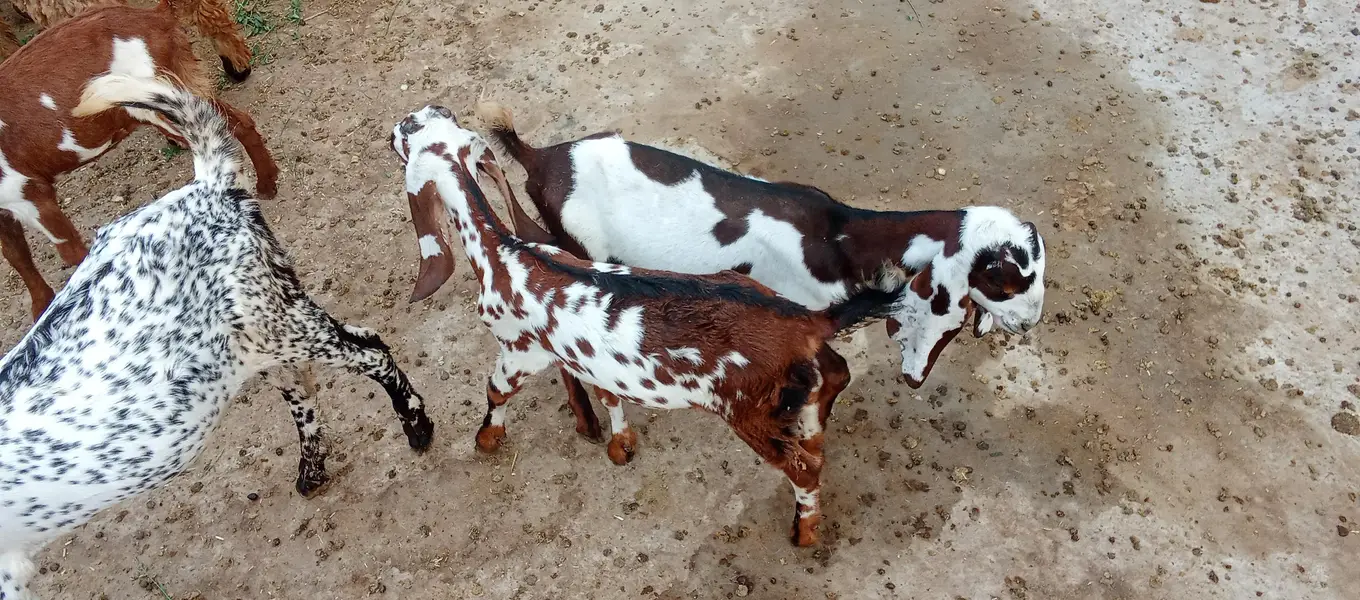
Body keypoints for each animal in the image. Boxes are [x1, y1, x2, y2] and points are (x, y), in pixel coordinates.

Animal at [0, 76, 433, 600]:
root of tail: (206, 187)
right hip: (271, 327)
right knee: (319, 376)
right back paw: (313, 471)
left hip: (283, 327)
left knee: (370, 352)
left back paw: (417, 428)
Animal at [391, 105, 907, 546]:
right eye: (431, 120)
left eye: (414, 133)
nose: (398, 125)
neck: (506, 254)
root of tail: (807, 321)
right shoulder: (587, 357)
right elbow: (607, 395)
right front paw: (619, 444)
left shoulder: (518, 350)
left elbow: (496, 391)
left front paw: (487, 440)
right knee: (822, 416)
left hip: (747, 411)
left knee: (804, 467)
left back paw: (804, 533)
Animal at [471, 103, 1045, 440]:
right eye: (1006, 280)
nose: (1031, 323)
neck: (840, 238)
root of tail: (539, 158)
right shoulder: (799, 319)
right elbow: (832, 376)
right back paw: (590, 424)